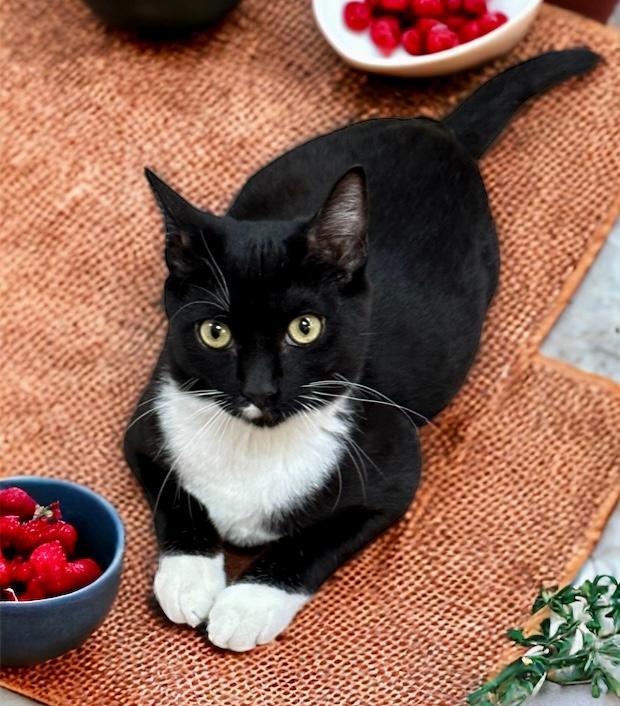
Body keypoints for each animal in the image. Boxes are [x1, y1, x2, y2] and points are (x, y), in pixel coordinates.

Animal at [124, 49, 596, 652]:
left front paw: (247, 605)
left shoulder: (393, 471)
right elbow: (175, 498)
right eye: (215, 333)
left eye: (305, 327)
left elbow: (314, 542)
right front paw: (189, 577)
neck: (256, 443)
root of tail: (439, 130)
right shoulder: (151, 414)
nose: (260, 388)